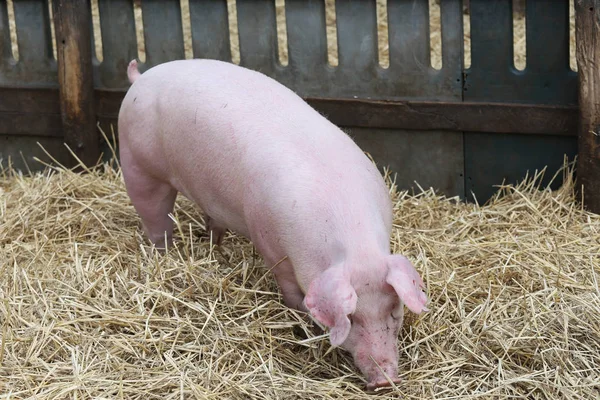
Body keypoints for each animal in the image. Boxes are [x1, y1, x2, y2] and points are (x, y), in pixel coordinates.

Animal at [118, 57, 426, 390]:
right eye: (351, 318)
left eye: (393, 310)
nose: (385, 380)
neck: (354, 239)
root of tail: (141, 77)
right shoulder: (271, 244)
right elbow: (290, 291)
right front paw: (301, 321)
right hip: (137, 164)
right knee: (155, 217)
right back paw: (164, 254)